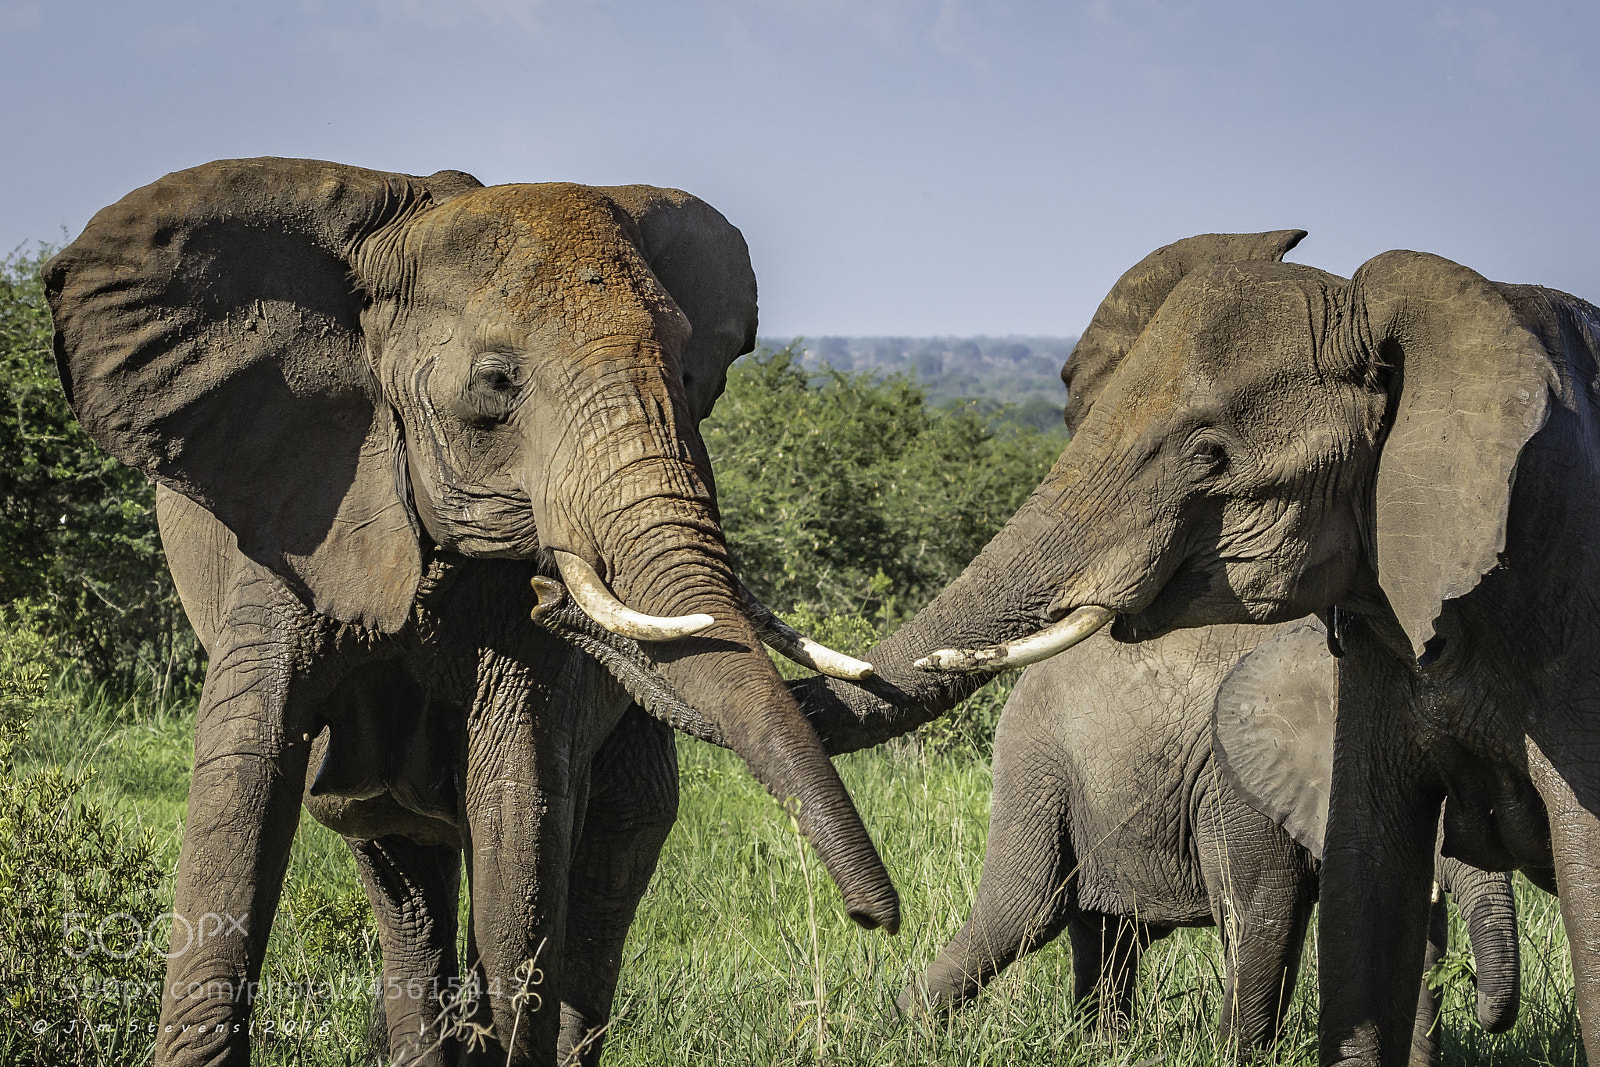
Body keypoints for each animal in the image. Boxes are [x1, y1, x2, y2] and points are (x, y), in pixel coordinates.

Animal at [45, 157, 898, 1067]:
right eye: (496, 381)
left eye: (692, 377)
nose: (873, 918)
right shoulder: (292, 516)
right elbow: (242, 776)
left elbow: (518, 800)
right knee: (392, 856)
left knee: (614, 844)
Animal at [898, 617, 1520, 1063]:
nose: (1485, 1010)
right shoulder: (1233, 784)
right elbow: (1267, 910)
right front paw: (1238, 1058)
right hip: (1038, 764)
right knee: (1026, 911)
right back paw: (910, 1026)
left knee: (1110, 931)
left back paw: (1102, 1049)